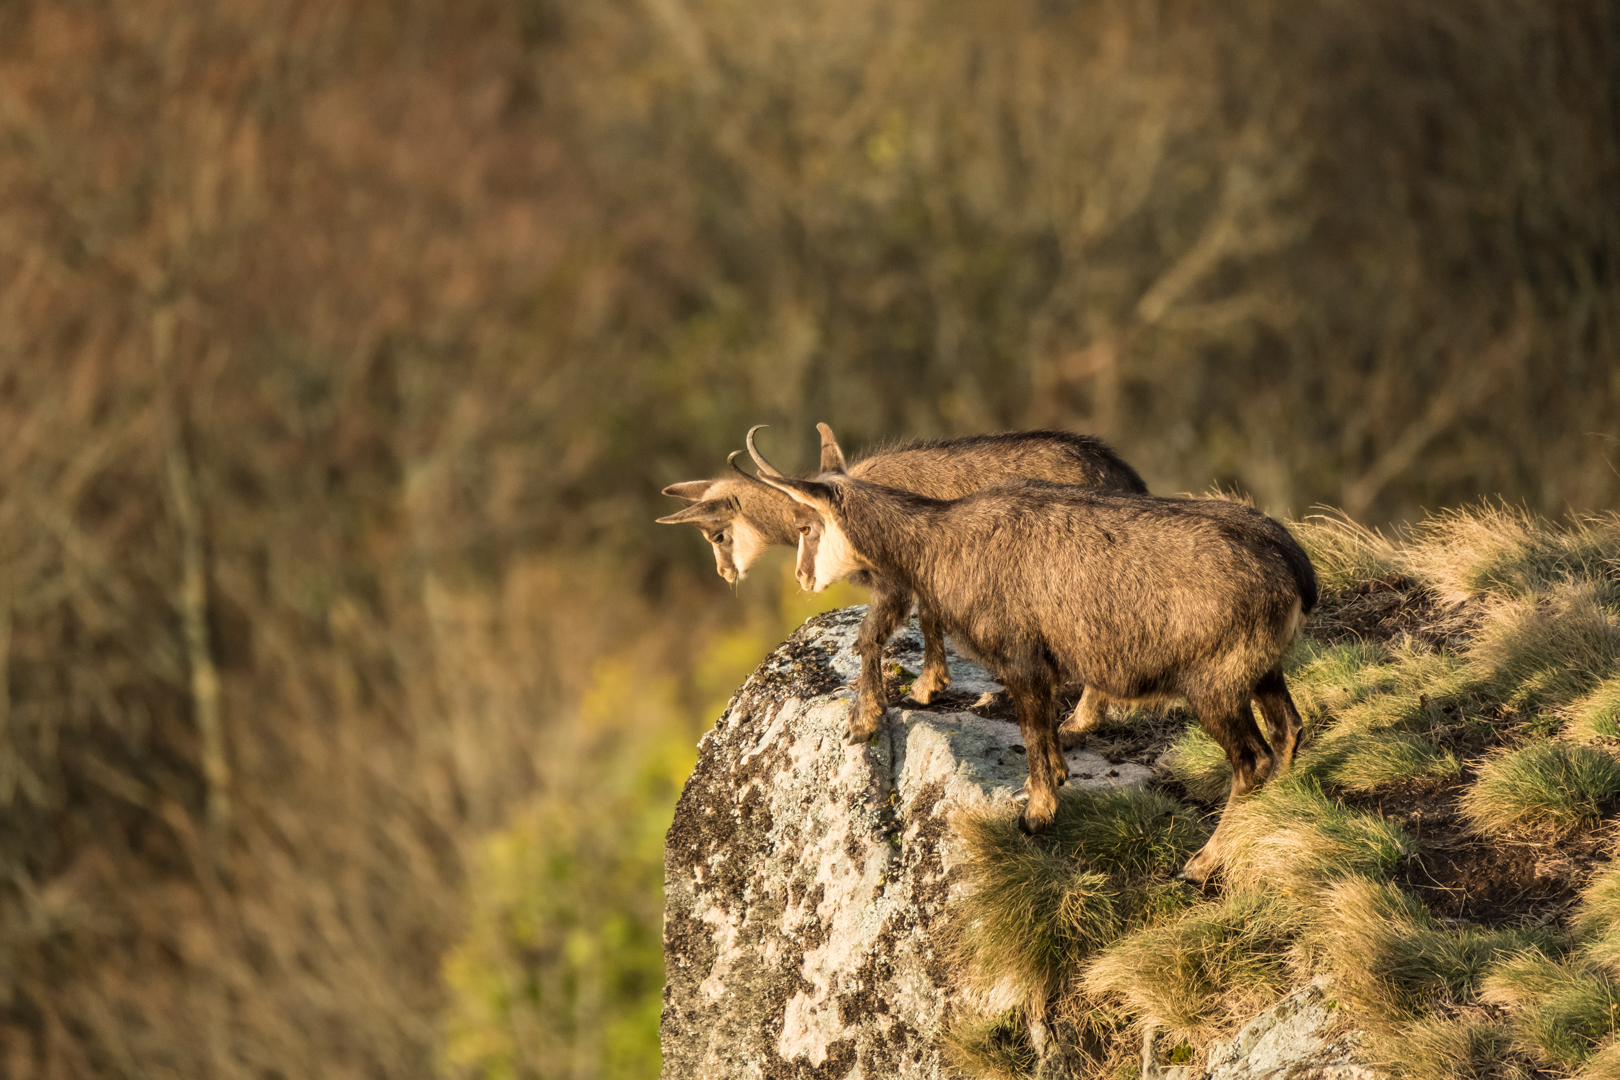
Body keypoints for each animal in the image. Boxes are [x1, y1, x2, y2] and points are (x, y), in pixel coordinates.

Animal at [741, 424, 1315, 887]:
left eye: (807, 526)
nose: (803, 578)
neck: (939, 540)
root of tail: (1293, 565)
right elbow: (1042, 735)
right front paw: (1055, 780)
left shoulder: (1022, 658)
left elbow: (1033, 733)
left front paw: (1037, 815)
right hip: (1261, 668)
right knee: (1288, 730)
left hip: (1215, 684)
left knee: (1252, 761)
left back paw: (1204, 862)